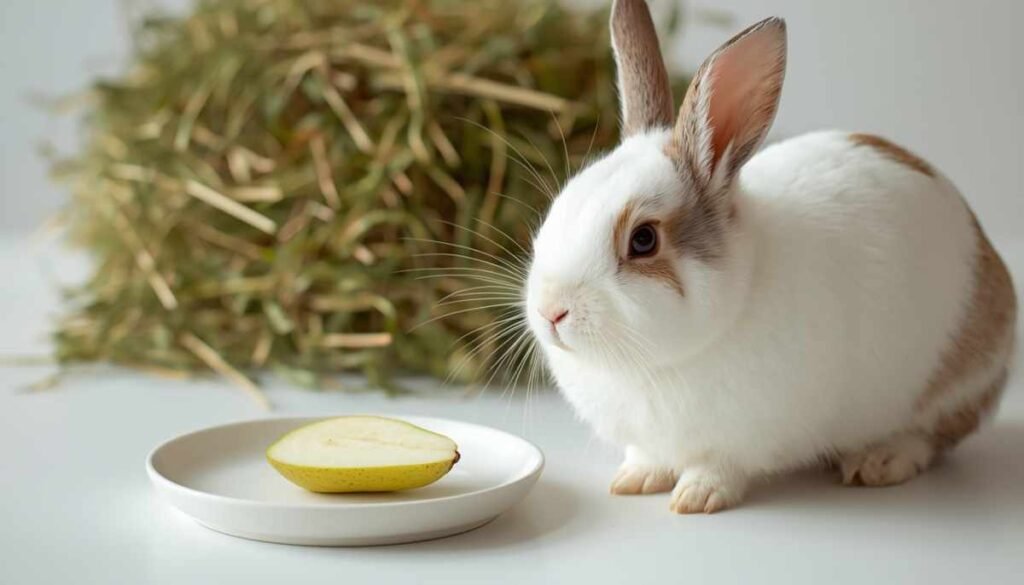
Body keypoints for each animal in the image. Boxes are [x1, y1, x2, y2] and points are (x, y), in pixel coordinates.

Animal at [524, 0, 1017, 513]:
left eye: (643, 240)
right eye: (561, 204)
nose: (550, 311)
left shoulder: (734, 442)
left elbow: (717, 467)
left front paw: (696, 497)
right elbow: (649, 457)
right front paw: (634, 480)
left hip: (953, 385)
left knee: (934, 434)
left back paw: (879, 461)